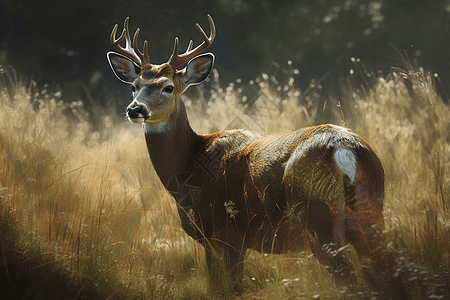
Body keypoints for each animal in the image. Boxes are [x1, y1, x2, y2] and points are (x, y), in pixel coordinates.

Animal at [105, 15, 384, 292]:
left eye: (168, 87)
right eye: (134, 86)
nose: (135, 109)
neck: (186, 169)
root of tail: (343, 148)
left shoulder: (225, 233)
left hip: (318, 217)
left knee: (349, 278)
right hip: (370, 214)